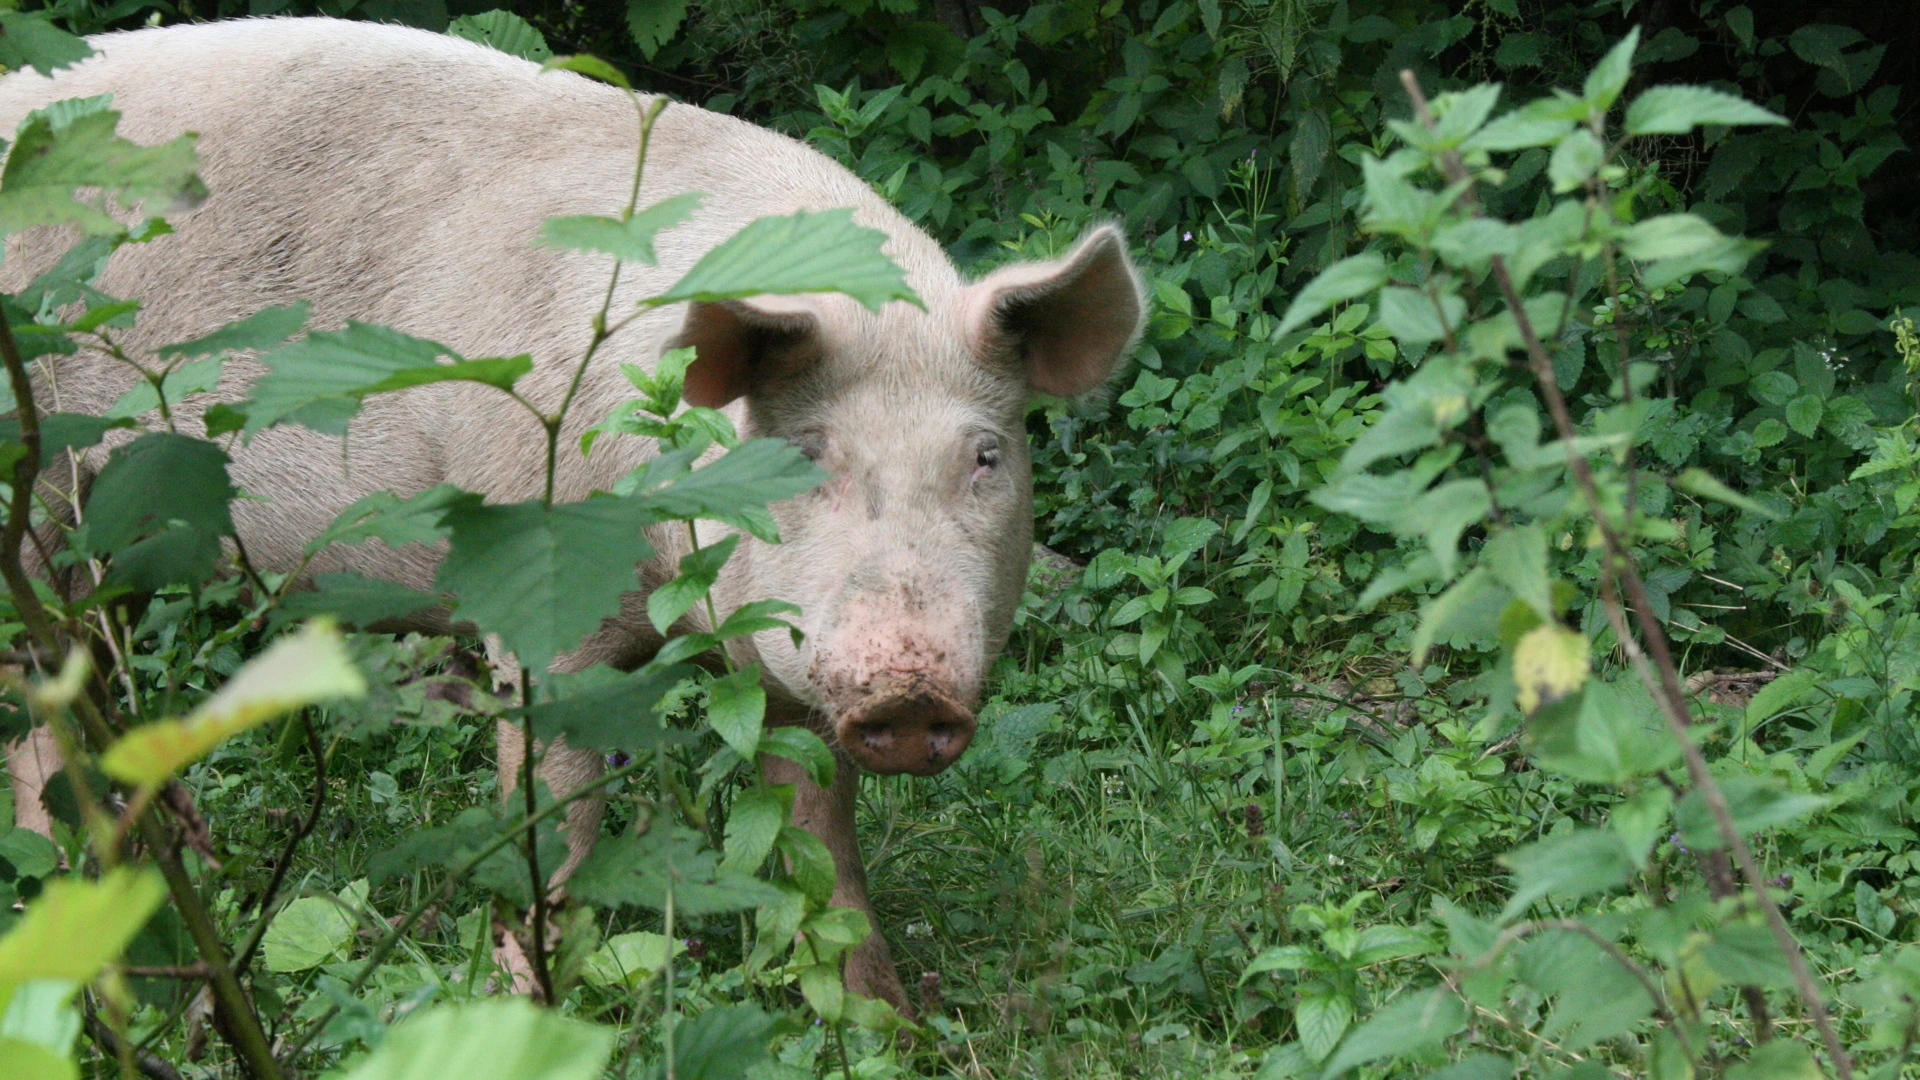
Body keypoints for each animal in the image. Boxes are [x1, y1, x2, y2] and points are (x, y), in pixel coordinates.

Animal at [0, 18, 1136, 1006]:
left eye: (985, 456)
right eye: (802, 454)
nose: (908, 693)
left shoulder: (791, 661)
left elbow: (820, 835)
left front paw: (881, 1020)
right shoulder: (532, 601)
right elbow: (557, 819)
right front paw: (537, 1010)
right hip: (37, 498)